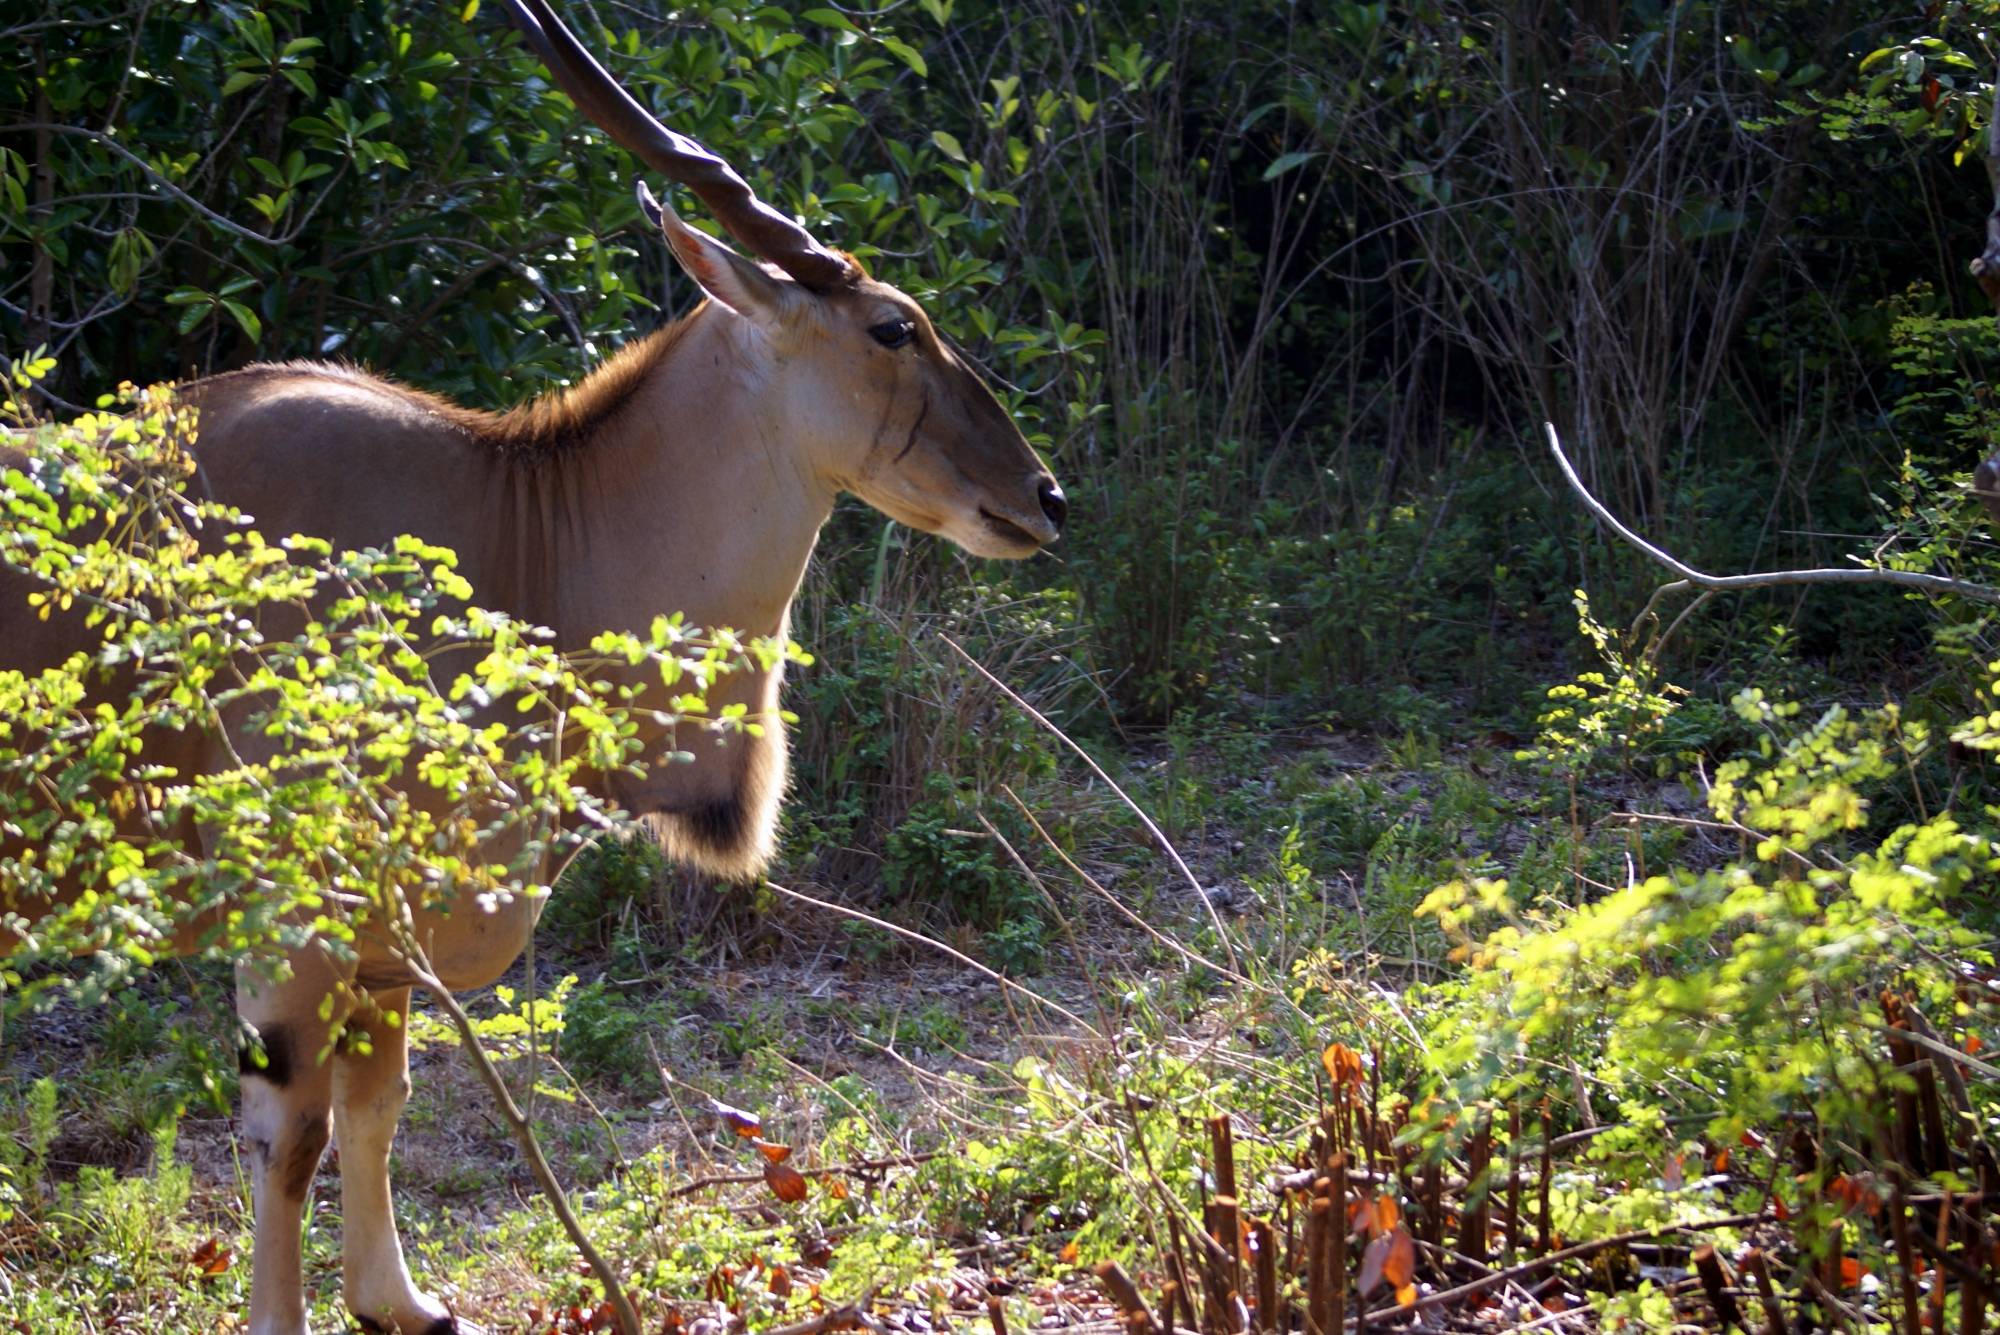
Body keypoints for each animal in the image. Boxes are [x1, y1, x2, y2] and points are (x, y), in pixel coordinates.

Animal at [0, 5, 1072, 1327]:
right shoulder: (298, 923)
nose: (1043, 498)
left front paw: (397, 1299)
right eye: (893, 327)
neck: (522, 530)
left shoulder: (387, 945)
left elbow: (380, 1102)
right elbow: (288, 1137)